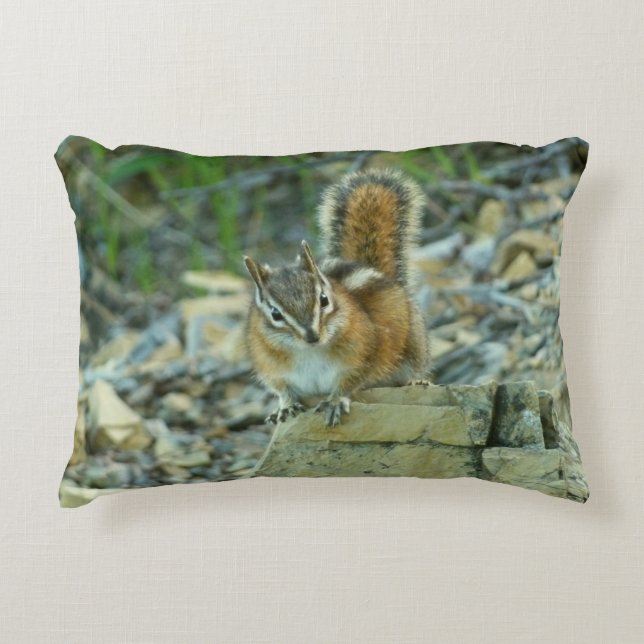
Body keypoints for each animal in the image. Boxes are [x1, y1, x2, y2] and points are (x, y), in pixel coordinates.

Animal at [243, 168, 431, 426]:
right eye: (275, 314)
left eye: (323, 299)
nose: (312, 336)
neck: (308, 352)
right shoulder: (272, 368)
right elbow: (283, 390)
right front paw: (285, 406)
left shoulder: (362, 355)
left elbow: (349, 382)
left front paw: (334, 401)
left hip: (414, 343)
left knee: (417, 366)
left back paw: (418, 381)